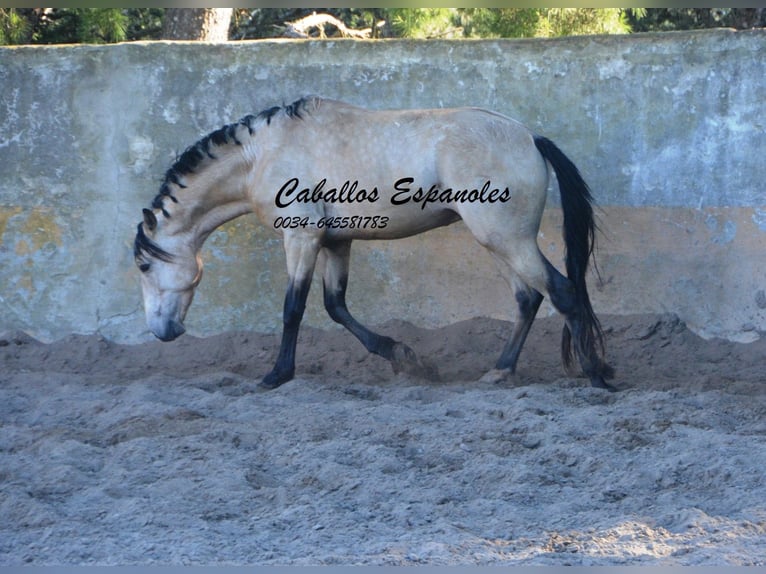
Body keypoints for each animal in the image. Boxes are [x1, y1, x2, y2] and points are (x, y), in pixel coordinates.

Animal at [134, 96, 615, 391]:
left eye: (143, 267)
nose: (163, 331)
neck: (263, 154)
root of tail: (531, 138)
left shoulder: (301, 237)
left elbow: (293, 308)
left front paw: (276, 375)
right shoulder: (336, 242)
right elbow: (335, 306)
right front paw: (403, 356)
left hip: (506, 239)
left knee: (562, 292)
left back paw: (596, 375)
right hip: (499, 242)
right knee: (528, 299)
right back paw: (500, 371)